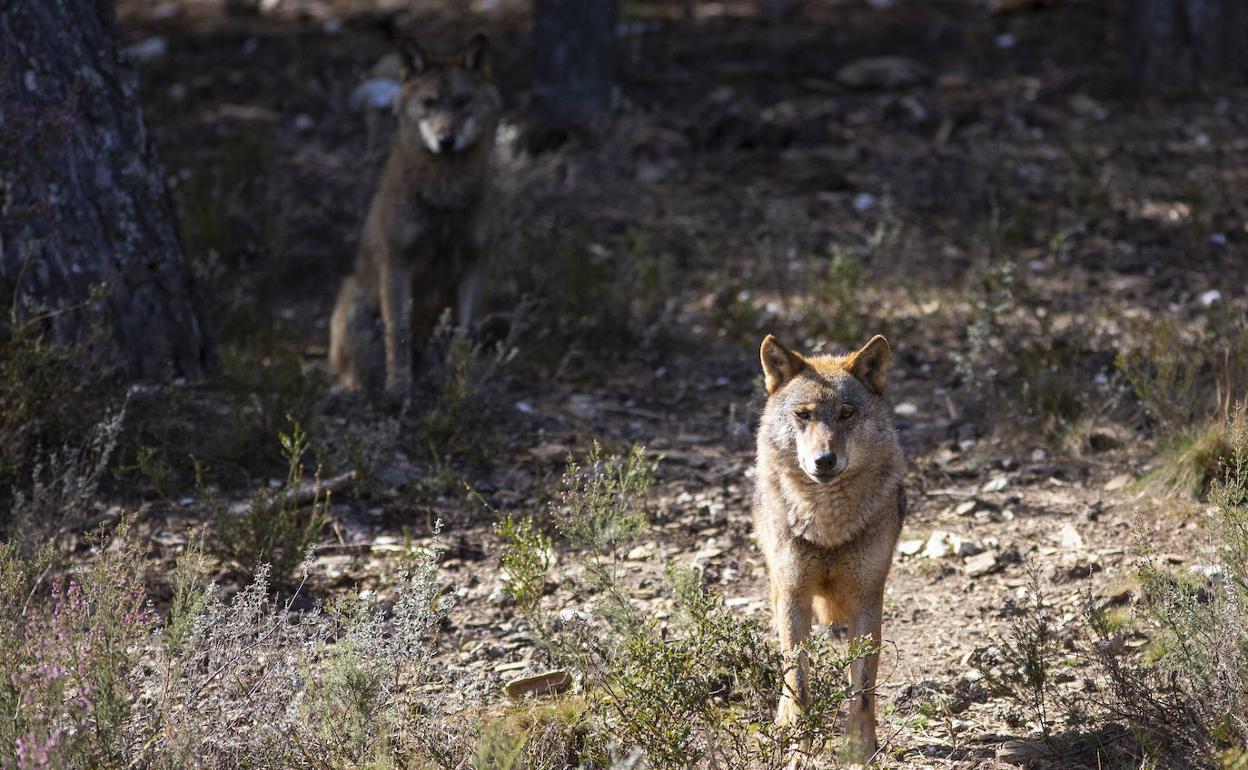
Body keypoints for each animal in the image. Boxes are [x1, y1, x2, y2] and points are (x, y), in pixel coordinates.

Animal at [336, 33, 506, 399]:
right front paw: (399, 389)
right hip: (354, 299)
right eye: (428, 103)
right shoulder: (397, 262)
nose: (446, 139)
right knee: (352, 369)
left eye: (462, 101)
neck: (445, 193)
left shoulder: (475, 263)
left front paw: (463, 386)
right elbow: (398, 335)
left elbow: (464, 335)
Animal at [748, 334, 908, 758]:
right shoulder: (794, 595)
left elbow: (863, 689)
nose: (824, 460)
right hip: (779, 586)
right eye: (803, 415)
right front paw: (799, 750)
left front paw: (860, 750)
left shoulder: (867, 597)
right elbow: (799, 684)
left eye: (846, 413)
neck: (827, 526)